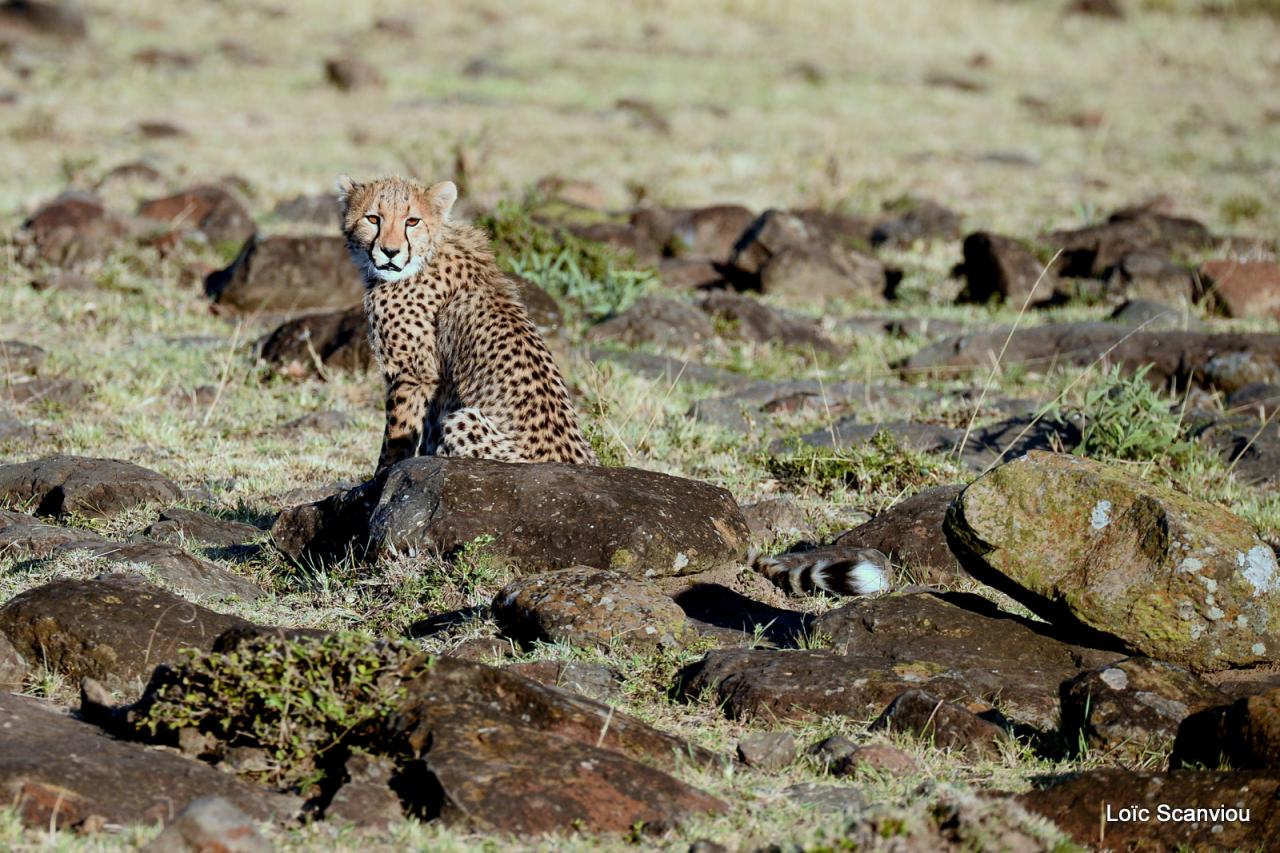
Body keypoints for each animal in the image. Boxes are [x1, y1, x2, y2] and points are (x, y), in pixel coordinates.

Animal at [340, 174, 599, 471]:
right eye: (373, 219)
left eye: (412, 221)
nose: (390, 252)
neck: (428, 252)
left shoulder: (414, 374)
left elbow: (396, 437)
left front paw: (381, 475)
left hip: (463, 420)